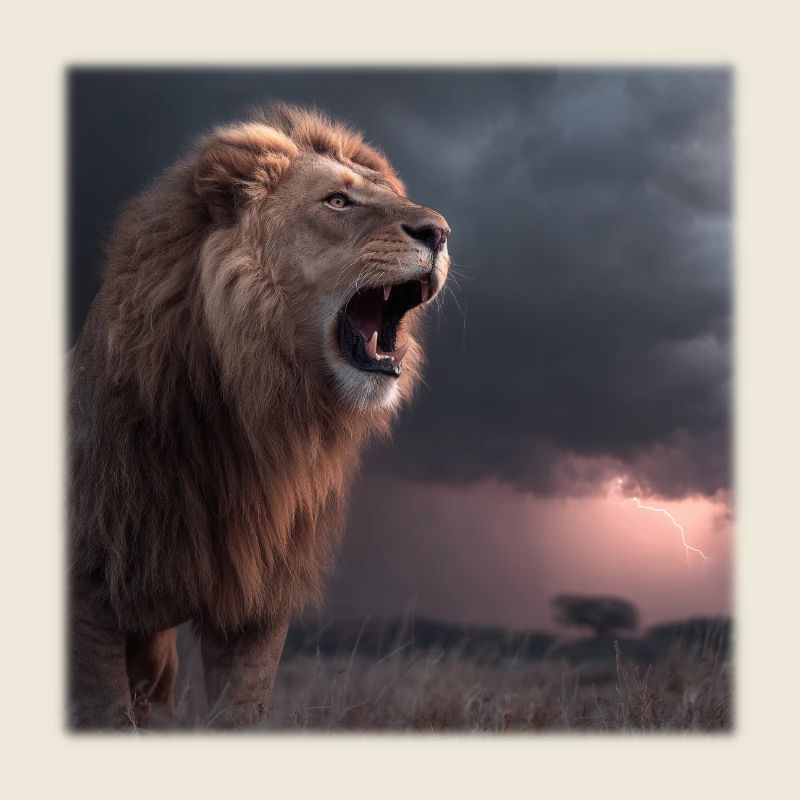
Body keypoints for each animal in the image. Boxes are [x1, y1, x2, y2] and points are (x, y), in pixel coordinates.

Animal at [68, 104, 450, 729]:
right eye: (337, 201)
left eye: (391, 194)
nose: (440, 232)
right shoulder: (91, 593)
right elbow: (104, 712)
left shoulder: (257, 598)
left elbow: (240, 712)